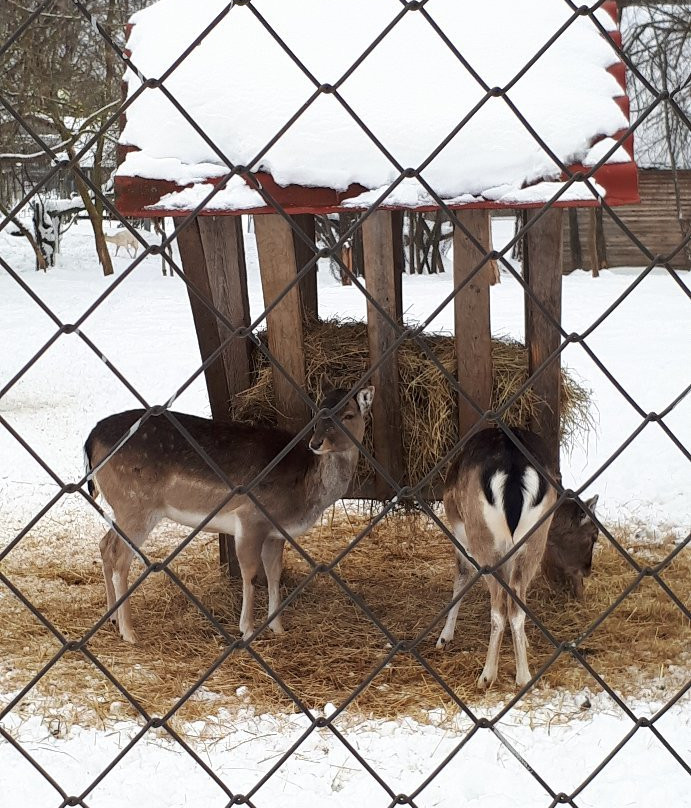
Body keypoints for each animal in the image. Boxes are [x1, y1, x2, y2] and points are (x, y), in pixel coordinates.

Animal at [87, 386, 378, 644]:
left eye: (348, 415)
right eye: (317, 415)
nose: (316, 443)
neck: (305, 490)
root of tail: (91, 439)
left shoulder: (275, 532)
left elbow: (274, 572)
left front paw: (278, 627)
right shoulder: (250, 517)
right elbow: (250, 573)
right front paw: (246, 630)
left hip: (124, 508)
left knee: (104, 545)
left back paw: (112, 618)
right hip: (135, 504)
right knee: (119, 555)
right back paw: (129, 632)